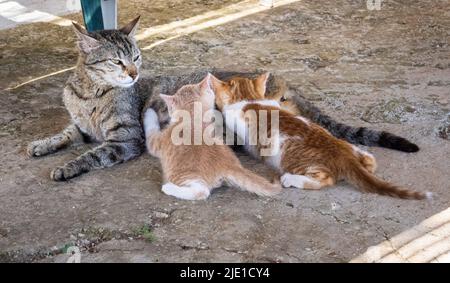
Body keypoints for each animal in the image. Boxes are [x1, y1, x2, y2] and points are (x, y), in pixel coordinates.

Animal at [28, 17, 420, 182]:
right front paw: (42, 144)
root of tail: (282, 79)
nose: (135, 74)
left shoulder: (125, 138)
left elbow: (93, 154)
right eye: (117, 61)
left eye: (136, 58)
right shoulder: (82, 127)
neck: (89, 92)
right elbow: (66, 134)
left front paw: (67, 167)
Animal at [142, 74, 282, 201]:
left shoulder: (157, 141)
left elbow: (151, 130)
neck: (192, 118)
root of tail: (230, 164)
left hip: (183, 174)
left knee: (201, 191)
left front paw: (149, 113)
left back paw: (168, 188)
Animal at [209, 74, 430, 202]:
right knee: (370, 160)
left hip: (294, 161)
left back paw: (291, 179)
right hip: (348, 146)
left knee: (325, 180)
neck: (248, 99)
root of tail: (344, 155)